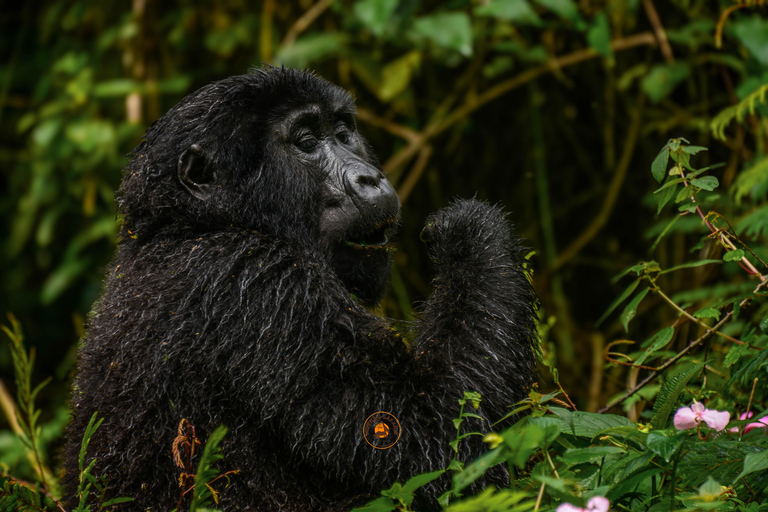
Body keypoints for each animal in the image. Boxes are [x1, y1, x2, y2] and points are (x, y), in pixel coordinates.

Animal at [61, 68, 540, 512]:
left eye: (344, 134)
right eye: (307, 142)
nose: (370, 178)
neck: (187, 225)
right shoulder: (265, 284)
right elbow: (434, 445)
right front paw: (469, 233)